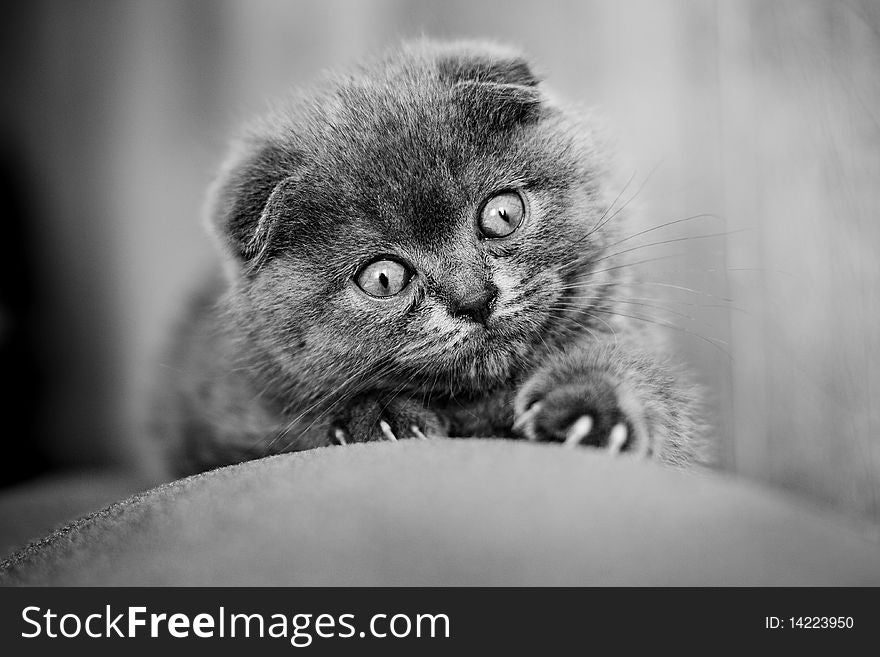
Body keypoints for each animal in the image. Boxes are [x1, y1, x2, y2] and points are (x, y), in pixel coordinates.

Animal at [155, 39, 708, 476]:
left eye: (502, 214)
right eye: (383, 278)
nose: (475, 297)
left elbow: (643, 381)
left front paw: (588, 413)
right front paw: (380, 418)